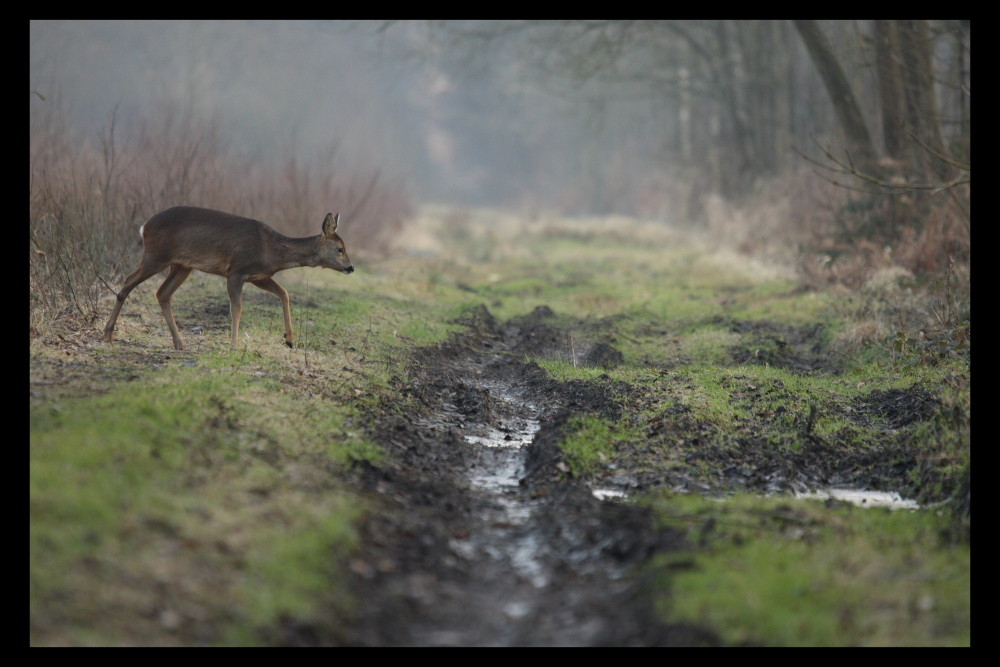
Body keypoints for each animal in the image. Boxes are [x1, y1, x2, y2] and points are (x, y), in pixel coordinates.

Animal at [103, 205, 354, 350]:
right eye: (340, 248)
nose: (351, 267)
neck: (272, 250)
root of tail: (144, 226)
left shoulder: (259, 276)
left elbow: (284, 294)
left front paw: (290, 339)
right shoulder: (236, 271)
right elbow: (237, 308)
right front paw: (234, 345)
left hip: (182, 265)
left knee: (162, 293)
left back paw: (179, 342)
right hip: (157, 254)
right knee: (128, 281)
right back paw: (108, 334)